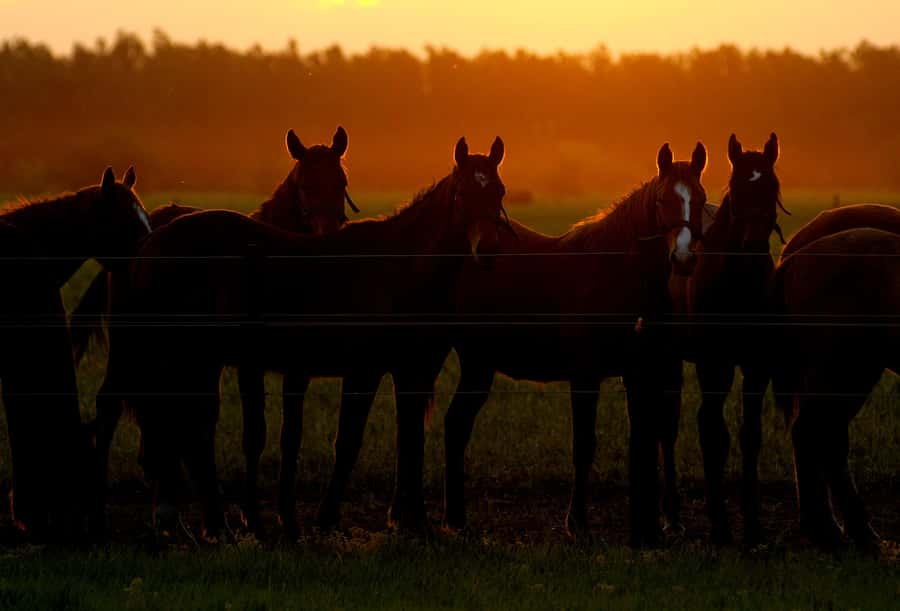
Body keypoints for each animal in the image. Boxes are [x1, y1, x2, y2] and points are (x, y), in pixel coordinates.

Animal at [78, 127, 356, 537]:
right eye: (305, 184)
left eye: (342, 182)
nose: (327, 236)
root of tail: (140, 243)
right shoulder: (250, 365)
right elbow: (254, 434)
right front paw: (251, 515)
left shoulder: (297, 369)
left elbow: (291, 436)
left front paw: (287, 516)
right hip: (134, 344)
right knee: (115, 403)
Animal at [118, 137, 509, 538]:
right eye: (462, 194)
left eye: (498, 191)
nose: (489, 249)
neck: (397, 267)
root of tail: (151, 244)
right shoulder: (364, 371)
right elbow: (350, 440)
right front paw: (328, 517)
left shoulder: (411, 371)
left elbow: (410, 437)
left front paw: (411, 520)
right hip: (195, 359)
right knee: (190, 431)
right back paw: (215, 524)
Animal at [441, 142, 708, 547]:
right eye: (663, 200)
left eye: (701, 198)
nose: (684, 258)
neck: (613, 273)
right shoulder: (585, 375)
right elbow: (584, 444)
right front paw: (577, 523)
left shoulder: (640, 373)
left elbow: (649, 437)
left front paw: (656, 524)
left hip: (478, 364)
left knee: (456, 425)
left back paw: (456, 520)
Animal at [662, 133, 787, 545]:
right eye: (736, 187)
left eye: (772, 187)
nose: (752, 246)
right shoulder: (713, 365)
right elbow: (714, 434)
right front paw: (719, 524)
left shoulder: (757, 367)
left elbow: (750, 435)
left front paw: (752, 524)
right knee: (670, 427)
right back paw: (671, 516)